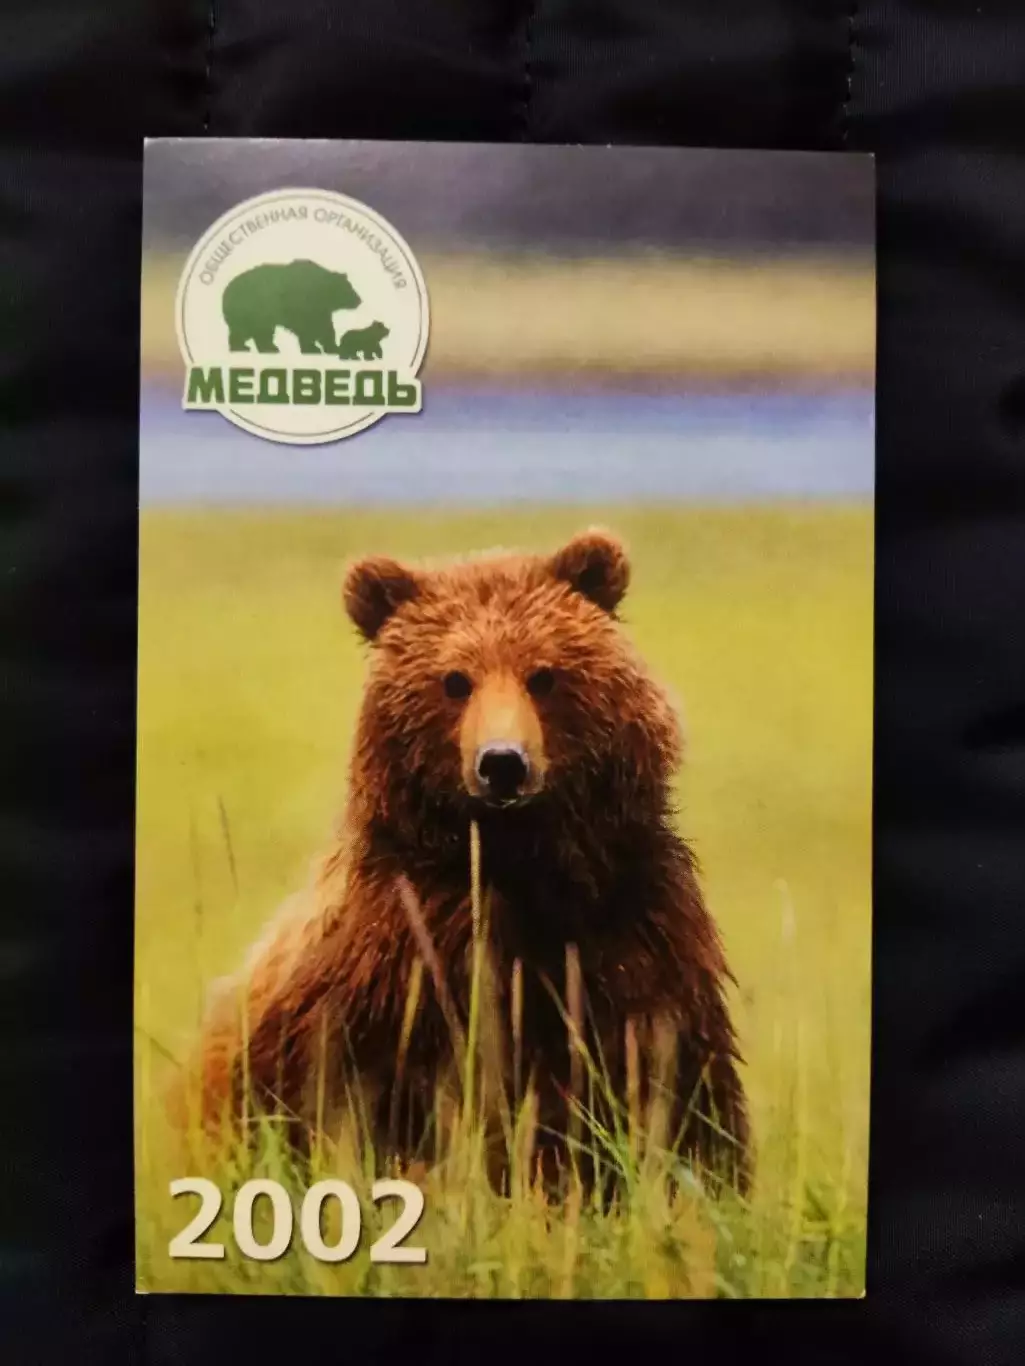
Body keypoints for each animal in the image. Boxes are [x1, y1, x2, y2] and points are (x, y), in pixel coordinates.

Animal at [181, 529, 751, 1196]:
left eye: (544, 674)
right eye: (454, 679)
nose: (502, 762)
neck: (520, 863)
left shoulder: (636, 932)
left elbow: (676, 1085)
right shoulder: (400, 961)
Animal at [222, 259, 361, 355]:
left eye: (350, 286)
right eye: (348, 288)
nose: (359, 300)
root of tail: (226, 291)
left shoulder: (320, 309)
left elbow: (325, 326)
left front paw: (333, 347)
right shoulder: (299, 305)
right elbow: (306, 327)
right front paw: (312, 348)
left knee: (259, 331)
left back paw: (264, 347)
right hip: (250, 309)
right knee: (249, 330)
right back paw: (248, 347)